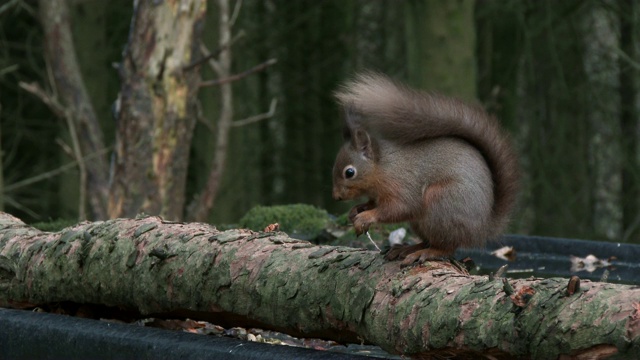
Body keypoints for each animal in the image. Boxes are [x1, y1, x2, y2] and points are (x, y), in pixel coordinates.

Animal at [332, 73, 516, 264]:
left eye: (349, 172)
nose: (336, 196)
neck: (384, 167)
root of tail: (482, 229)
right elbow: (373, 203)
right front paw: (356, 210)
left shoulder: (401, 185)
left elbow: (398, 208)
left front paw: (365, 217)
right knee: (428, 240)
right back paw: (407, 248)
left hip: (441, 203)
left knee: (445, 247)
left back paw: (425, 253)